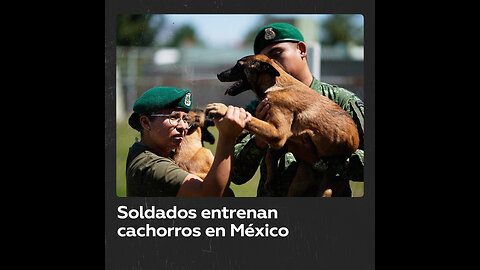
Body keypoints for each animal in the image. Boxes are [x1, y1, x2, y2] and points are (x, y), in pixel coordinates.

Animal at [206, 54, 360, 196]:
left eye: (239, 65)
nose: (218, 75)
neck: (276, 85)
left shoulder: (278, 134)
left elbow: (252, 119)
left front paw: (222, 108)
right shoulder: (284, 138)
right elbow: (263, 141)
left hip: (324, 188)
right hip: (297, 186)